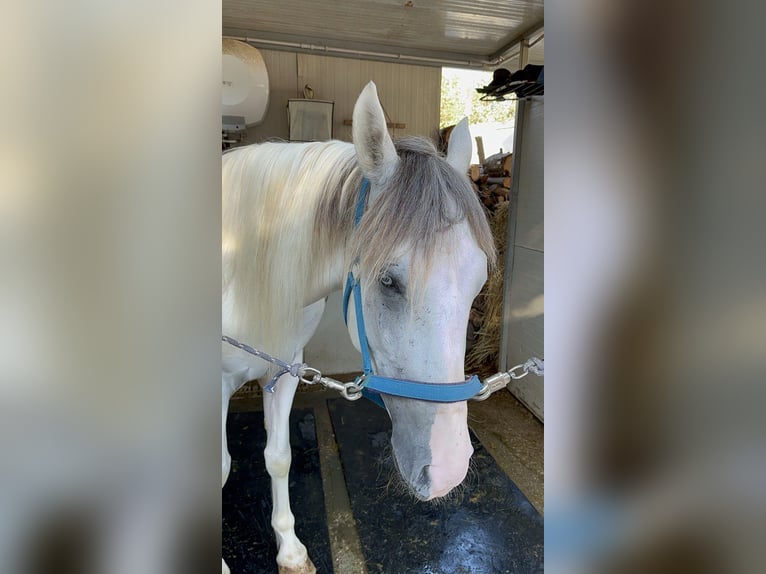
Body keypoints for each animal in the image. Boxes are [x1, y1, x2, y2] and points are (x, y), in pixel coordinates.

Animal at [222, 82, 498, 574]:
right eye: (388, 281)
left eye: (478, 282)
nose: (447, 469)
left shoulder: (284, 368)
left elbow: (278, 457)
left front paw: (291, 551)